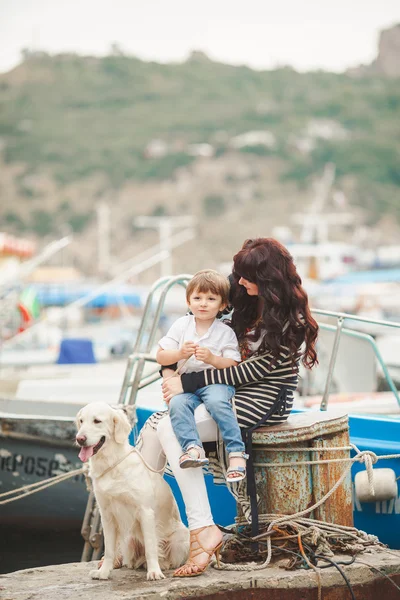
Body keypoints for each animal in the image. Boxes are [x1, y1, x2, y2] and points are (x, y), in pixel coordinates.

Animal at [76, 404, 190, 580]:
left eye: (97, 421)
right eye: (81, 421)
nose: (79, 439)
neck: (111, 464)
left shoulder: (145, 512)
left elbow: (150, 547)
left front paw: (154, 572)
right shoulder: (106, 514)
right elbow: (109, 549)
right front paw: (104, 572)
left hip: (181, 536)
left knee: (165, 557)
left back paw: (162, 565)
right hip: (128, 539)